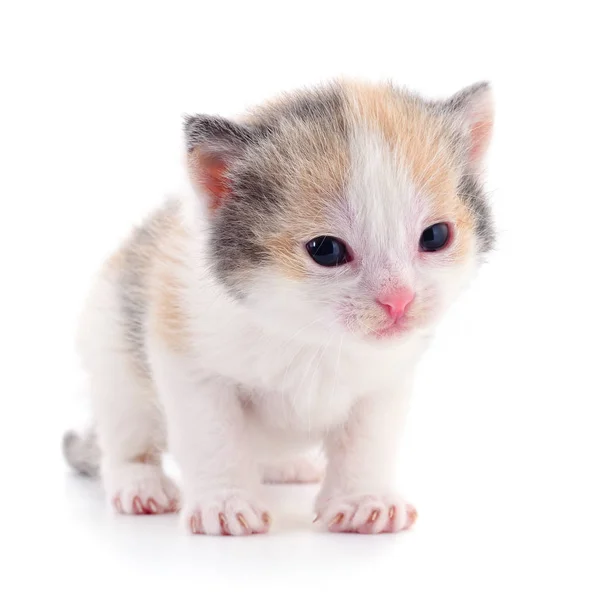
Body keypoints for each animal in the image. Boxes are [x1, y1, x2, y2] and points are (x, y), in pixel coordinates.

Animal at [62, 78, 492, 536]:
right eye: (325, 250)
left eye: (436, 236)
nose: (399, 300)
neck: (311, 334)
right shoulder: (185, 352)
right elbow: (211, 435)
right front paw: (225, 501)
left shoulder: (387, 375)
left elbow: (367, 437)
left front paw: (363, 499)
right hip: (110, 350)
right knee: (124, 429)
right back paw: (139, 482)